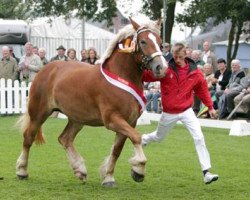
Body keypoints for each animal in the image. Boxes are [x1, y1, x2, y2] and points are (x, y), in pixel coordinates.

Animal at [16, 18, 167, 187]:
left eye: (160, 42)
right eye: (143, 41)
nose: (161, 67)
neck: (121, 76)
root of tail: (45, 69)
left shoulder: (130, 121)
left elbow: (117, 149)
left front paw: (108, 177)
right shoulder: (112, 119)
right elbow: (136, 137)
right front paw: (138, 169)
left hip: (77, 118)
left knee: (65, 138)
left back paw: (80, 170)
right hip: (39, 113)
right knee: (28, 137)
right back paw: (22, 171)